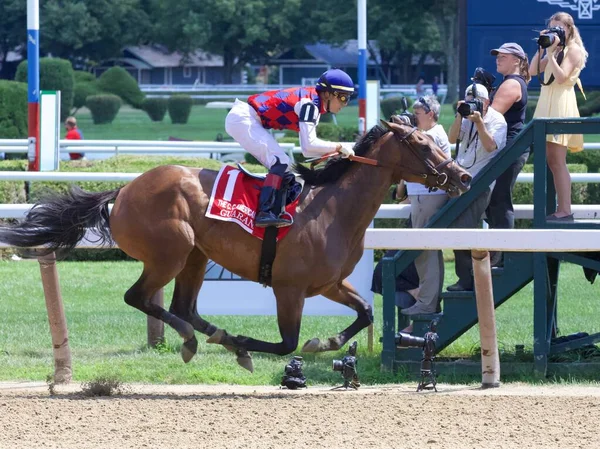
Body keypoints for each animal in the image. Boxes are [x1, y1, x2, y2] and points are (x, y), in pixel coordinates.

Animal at [0, 120, 472, 372]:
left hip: (195, 256)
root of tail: (124, 189)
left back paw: (211, 335)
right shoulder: (289, 288)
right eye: (422, 143)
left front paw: (324, 343)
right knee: (140, 297)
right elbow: (286, 343)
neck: (333, 207)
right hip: (172, 251)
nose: (463, 176)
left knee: (184, 306)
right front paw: (251, 344)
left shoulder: (330, 284)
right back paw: (195, 340)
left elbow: (366, 312)